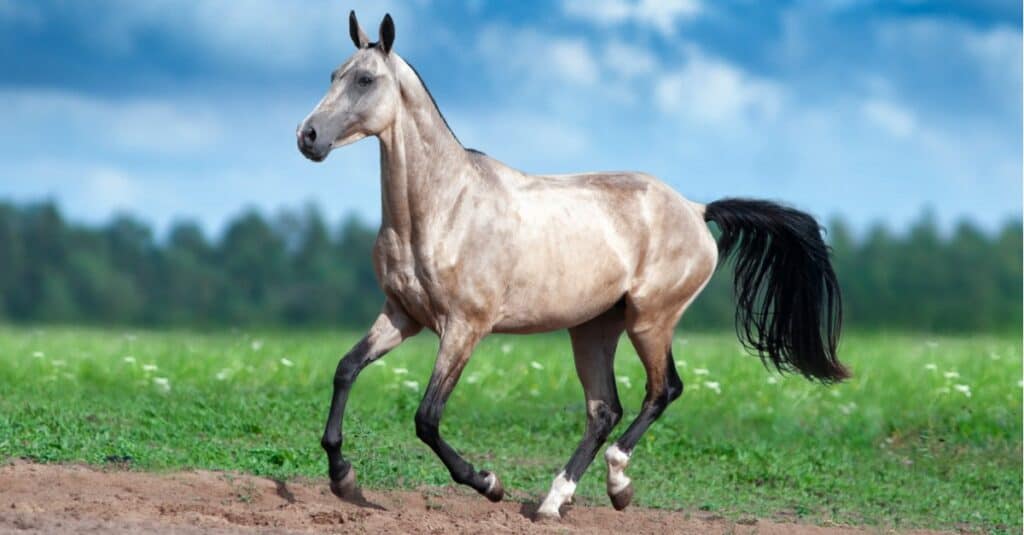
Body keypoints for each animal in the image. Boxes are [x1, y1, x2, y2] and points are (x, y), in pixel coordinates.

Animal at [296, 10, 847, 518]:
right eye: (333, 74)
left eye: (365, 80)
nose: (308, 136)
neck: (443, 207)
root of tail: (696, 209)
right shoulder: (402, 315)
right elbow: (346, 370)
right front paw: (343, 477)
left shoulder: (464, 327)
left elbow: (427, 417)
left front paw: (489, 483)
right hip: (593, 328)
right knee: (604, 409)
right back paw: (555, 501)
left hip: (650, 320)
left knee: (662, 390)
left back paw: (613, 484)